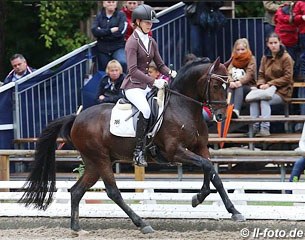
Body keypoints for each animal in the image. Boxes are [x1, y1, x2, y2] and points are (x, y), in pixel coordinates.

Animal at [19, 57, 245, 233]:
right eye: (215, 86)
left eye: (228, 86)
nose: (220, 116)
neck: (183, 107)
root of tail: (77, 118)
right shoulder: (175, 152)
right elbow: (207, 167)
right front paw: (199, 198)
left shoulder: (201, 148)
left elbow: (214, 174)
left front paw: (230, 210)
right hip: (100, 159)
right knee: (113, 192)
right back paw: (142, 224)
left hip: (93, 163)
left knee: (76, 190)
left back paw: (76, 229)